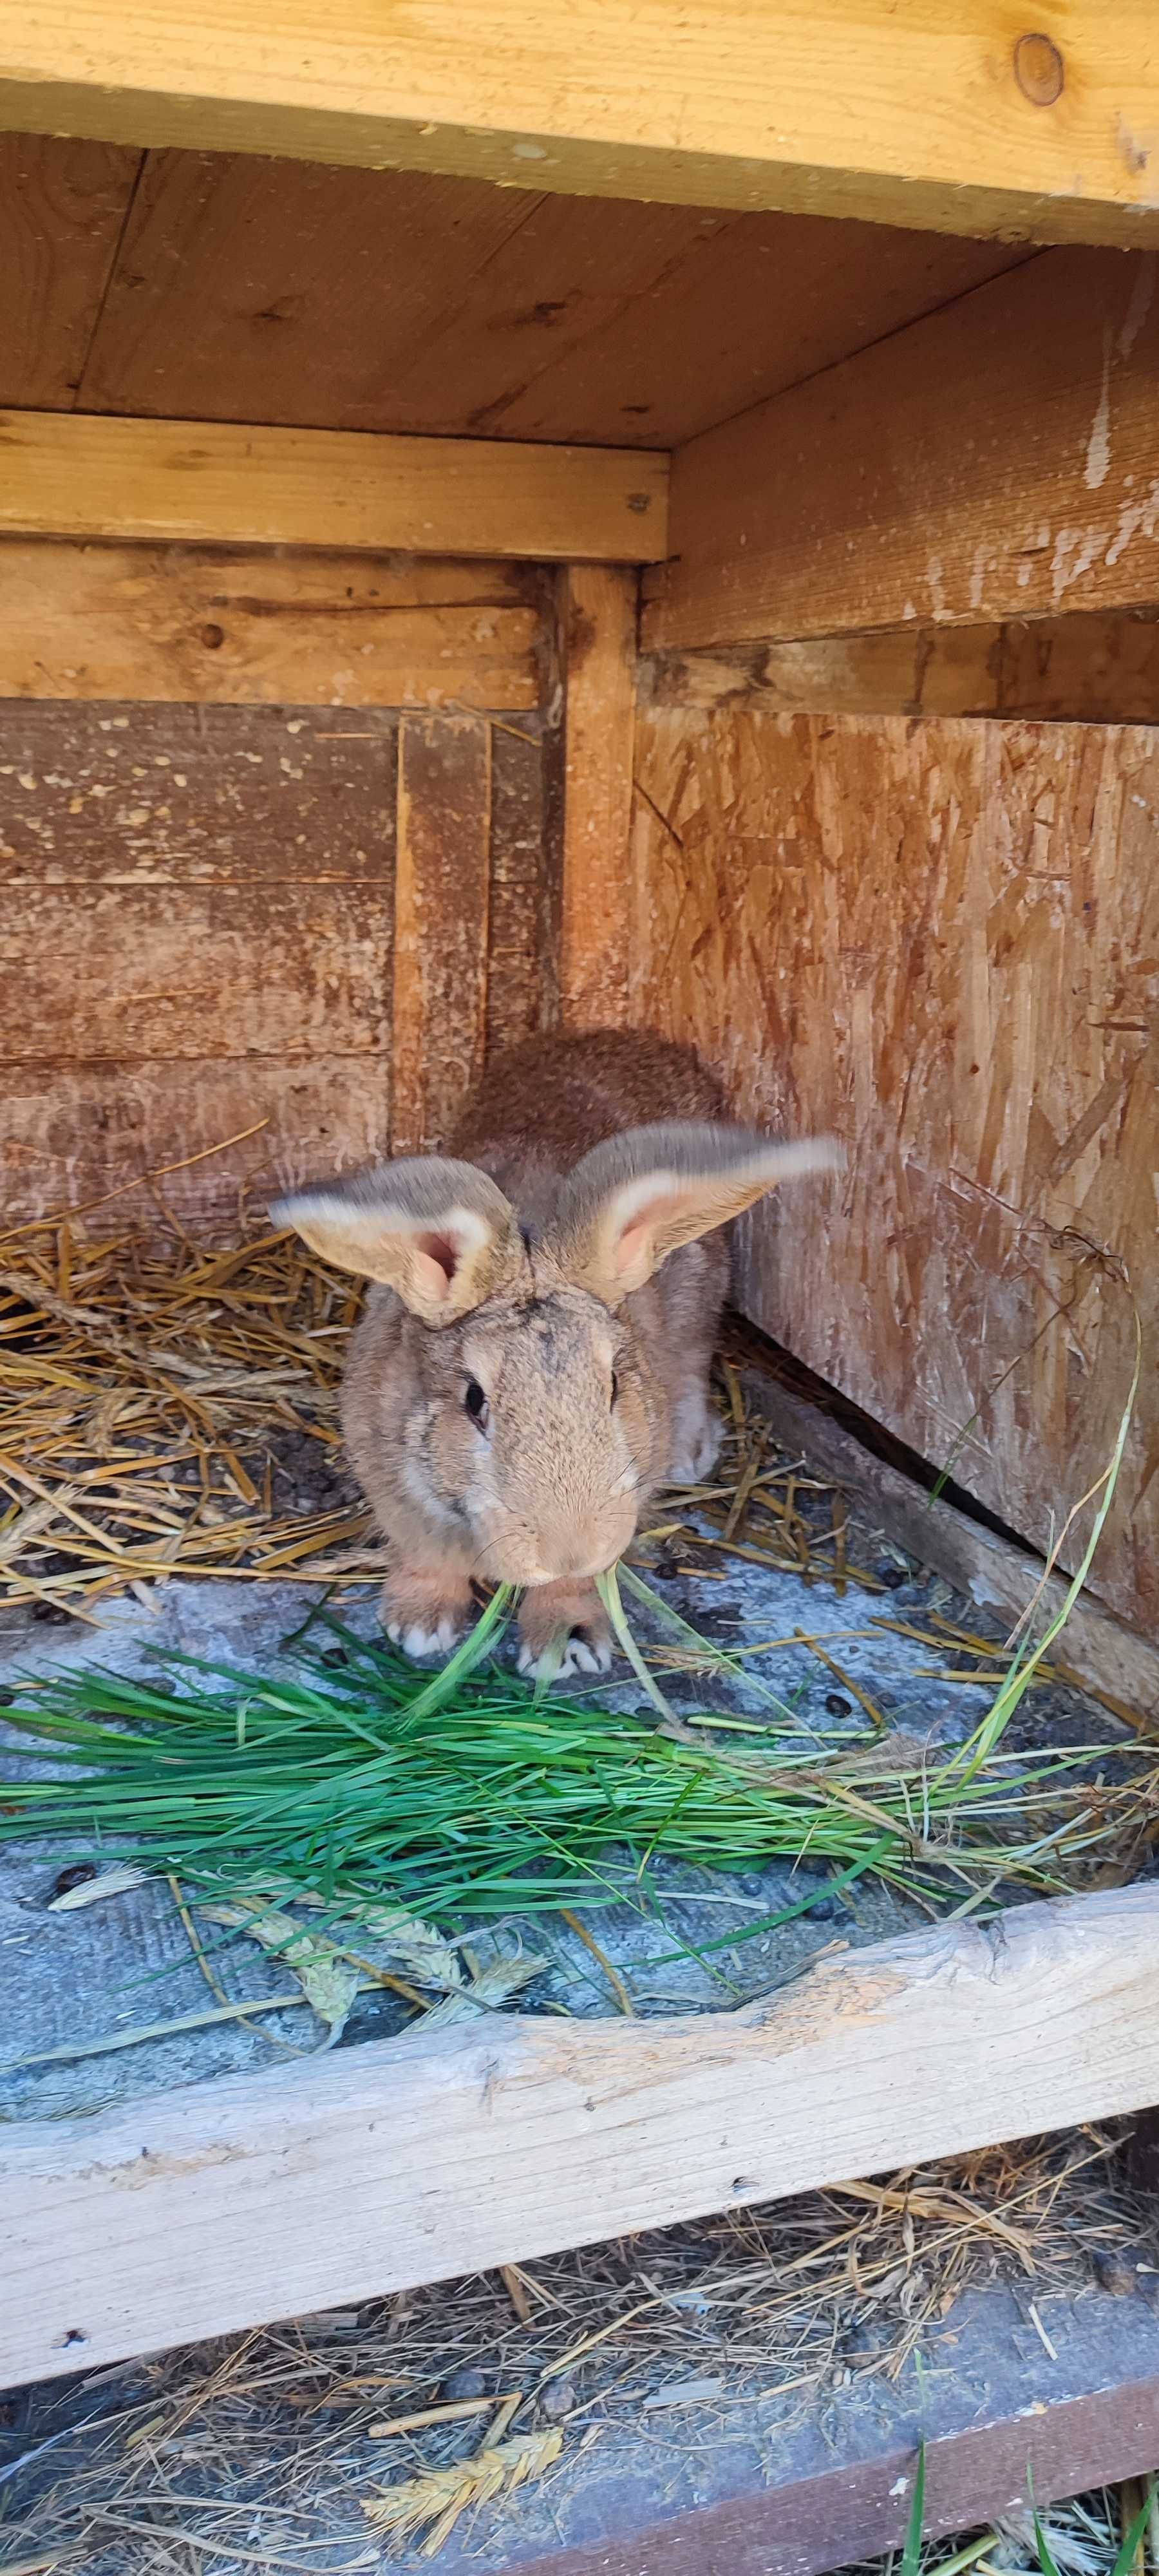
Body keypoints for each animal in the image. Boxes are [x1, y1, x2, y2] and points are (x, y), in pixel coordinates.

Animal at [273, 1036, 840, 1680]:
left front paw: (565, 1644)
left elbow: (575, 1589)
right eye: (474, 1401)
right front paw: (417, 1627)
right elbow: (424, 1558)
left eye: (614, 1386)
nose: (568, 1549)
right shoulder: (398, 1495)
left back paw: (689, 1454)